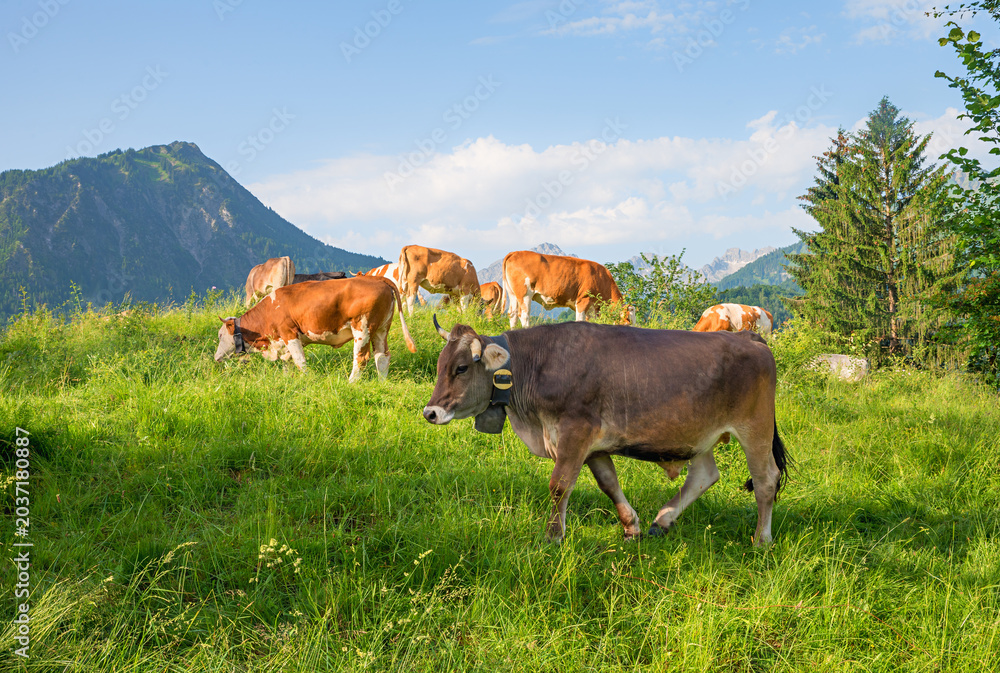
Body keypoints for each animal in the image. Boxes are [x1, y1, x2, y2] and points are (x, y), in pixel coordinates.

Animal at [216, 276, 416, 382]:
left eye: (220, 335)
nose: (216, 357)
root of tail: (376, 278)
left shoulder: (289, 333)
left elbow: (299, 361)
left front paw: (305, 380)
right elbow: (287, 362)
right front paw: (287, 381)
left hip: (363, 328)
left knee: (361, 358)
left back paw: (350, 383)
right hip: (381, 330)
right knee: (382, 356)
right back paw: (382, 382)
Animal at [422, 318, 788, 546]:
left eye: (461, 368)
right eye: (440, 366)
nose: (430, 412)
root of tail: (746, 337)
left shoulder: (575, 431)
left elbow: (559, 485)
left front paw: (553, 536)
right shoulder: (593, 445)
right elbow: (609, 484)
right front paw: (631, 527)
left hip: (755, 428)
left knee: (766, 480)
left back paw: (762, 540)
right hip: (699, 436)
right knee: (704, 475)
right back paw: (662, 521)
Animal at [501, 250, 635, 328]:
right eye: (628, 321)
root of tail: (515, 252)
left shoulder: (593, 308)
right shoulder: (583, 300)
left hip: (513, 294)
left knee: (512, 315)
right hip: (525, 293)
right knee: (524, 315)